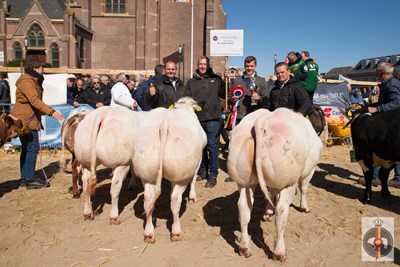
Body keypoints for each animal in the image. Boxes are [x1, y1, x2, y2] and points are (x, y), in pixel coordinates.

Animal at [131, 97, 206, 244]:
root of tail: (164, 124)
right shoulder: (198, 161)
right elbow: (194, 179)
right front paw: (193, 197)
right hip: (181, 176)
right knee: (175, 201)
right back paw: (176, 232)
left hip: (147, 175)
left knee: (148, 200)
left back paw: (149, 234)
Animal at [227, 108, 324, 262]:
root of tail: (262, 121)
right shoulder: (310, 170)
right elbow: (303, 188)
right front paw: (304, 207)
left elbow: (271, 192)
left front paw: (267, 212)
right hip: (287, 183)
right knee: (281, 211)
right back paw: (279, 252)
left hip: (245, 182)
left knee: (244, 207)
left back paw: (244, 247)